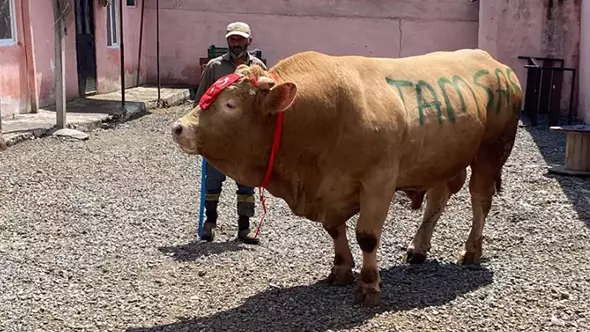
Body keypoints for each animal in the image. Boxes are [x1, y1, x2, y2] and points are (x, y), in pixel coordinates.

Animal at [171, 48, 524, 306]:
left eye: (230, 104)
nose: (179, 128)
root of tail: (494, 62)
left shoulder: (379, 180)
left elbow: (366, 235)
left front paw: (369, 286)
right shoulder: (330, 190)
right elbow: (334, 230)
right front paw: (340, 269)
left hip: (492, 150)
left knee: (480, 201)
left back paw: (472, 250)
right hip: (439, 158)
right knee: (437, 201)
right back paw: (419, 248)